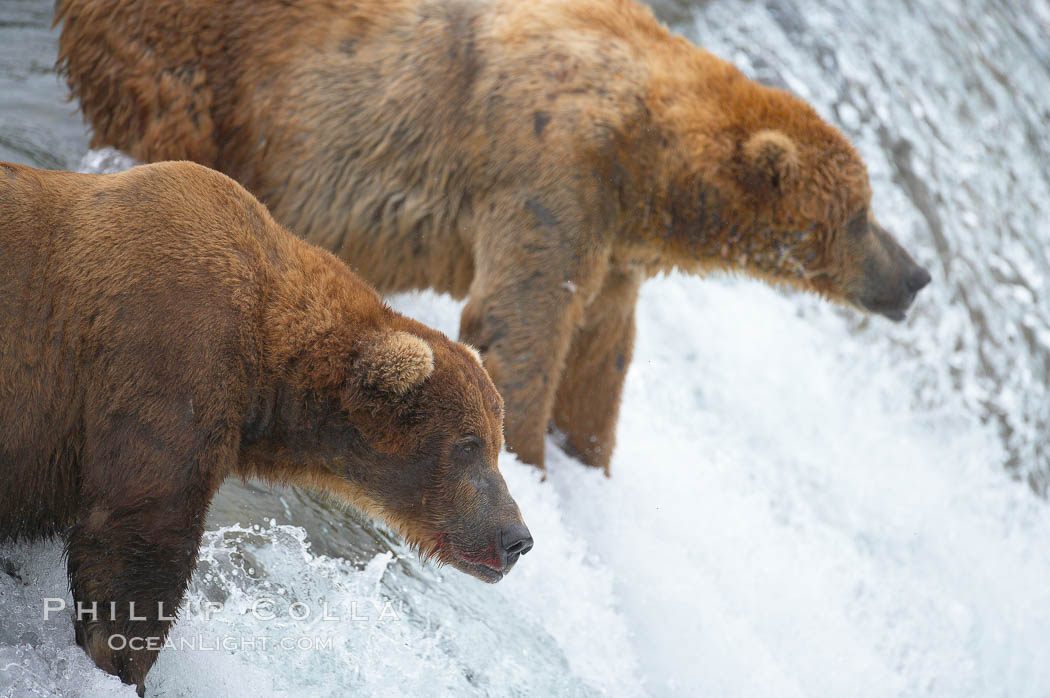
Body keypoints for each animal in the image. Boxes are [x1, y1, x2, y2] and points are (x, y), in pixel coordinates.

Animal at [0, 160, 529, 692]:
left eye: (497, 445)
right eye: (468, 444)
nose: (517, 538)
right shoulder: (166, 358)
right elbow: (138, 540)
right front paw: (123, 666)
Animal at [57, 0, 928, 474]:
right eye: (859, 215)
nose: (916, 275)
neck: (649, 161)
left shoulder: (615, 244)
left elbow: (601, 352)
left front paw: (588, 456)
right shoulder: (549, 168)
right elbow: (523, 321)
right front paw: (533, 458)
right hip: (194, 63)